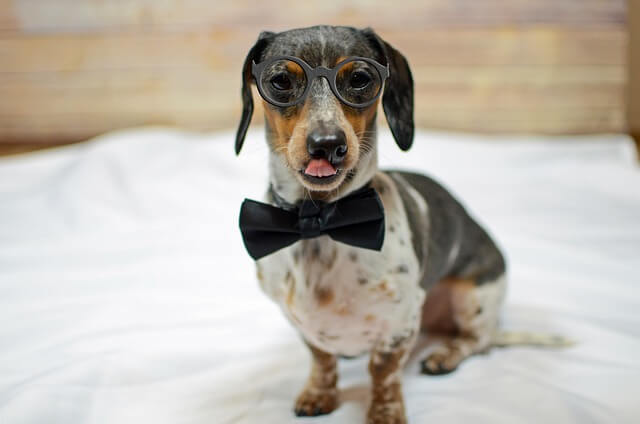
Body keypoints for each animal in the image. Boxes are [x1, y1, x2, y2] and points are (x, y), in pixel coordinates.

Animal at [235, 26, 510, 424]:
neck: (320, 221)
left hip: (473, 296)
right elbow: (322, 359)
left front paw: (385, 412)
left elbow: (383, 370)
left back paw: (445, 355)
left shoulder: (401, 321)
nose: (327, 145)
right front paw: (319, 394)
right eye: (280, 80)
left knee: (477, 341)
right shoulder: (302, 322)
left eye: (361, 79)